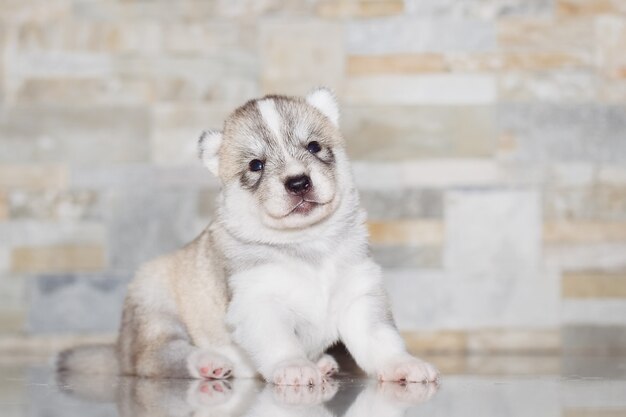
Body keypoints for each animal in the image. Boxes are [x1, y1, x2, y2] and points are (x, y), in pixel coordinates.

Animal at [58, 89, 438, 386]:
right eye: (256, 165)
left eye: (314, 146)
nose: (298, 182)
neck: (307, 244)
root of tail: (118, 350)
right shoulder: (258, 303)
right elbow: (280, 342)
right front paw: (294, 367)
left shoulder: (359, 295)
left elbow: (381, 341)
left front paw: (402, 365)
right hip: (156, 311)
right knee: (160, 357)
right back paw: (209, 362)